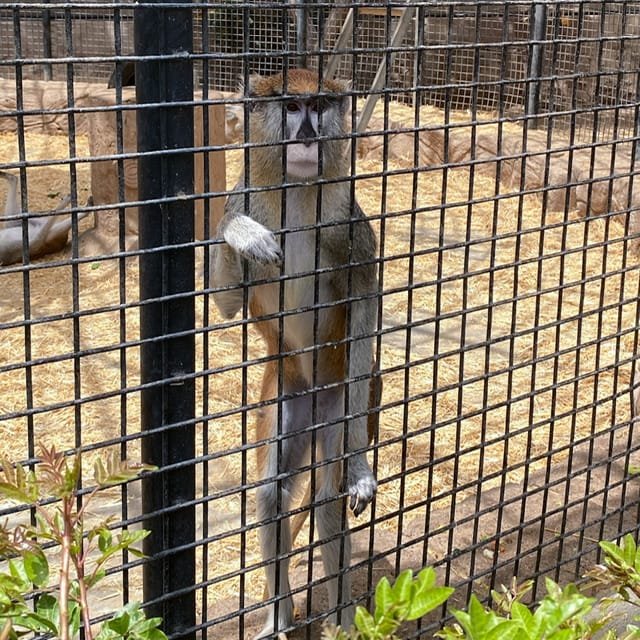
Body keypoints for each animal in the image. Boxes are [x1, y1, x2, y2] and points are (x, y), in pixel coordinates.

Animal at [211, 68, 379, 637]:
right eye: (290, 107)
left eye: (319, 104)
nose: (306, 135)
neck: (300, 192)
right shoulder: (244, 195)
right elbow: (226, 302)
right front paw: (244, 236)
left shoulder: (347, 224)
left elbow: (364, 302)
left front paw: (360, 472)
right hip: (287, 393)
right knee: (271, 495)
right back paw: (280, 616)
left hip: (338, 400)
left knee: (326, 500)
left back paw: (345, 619)